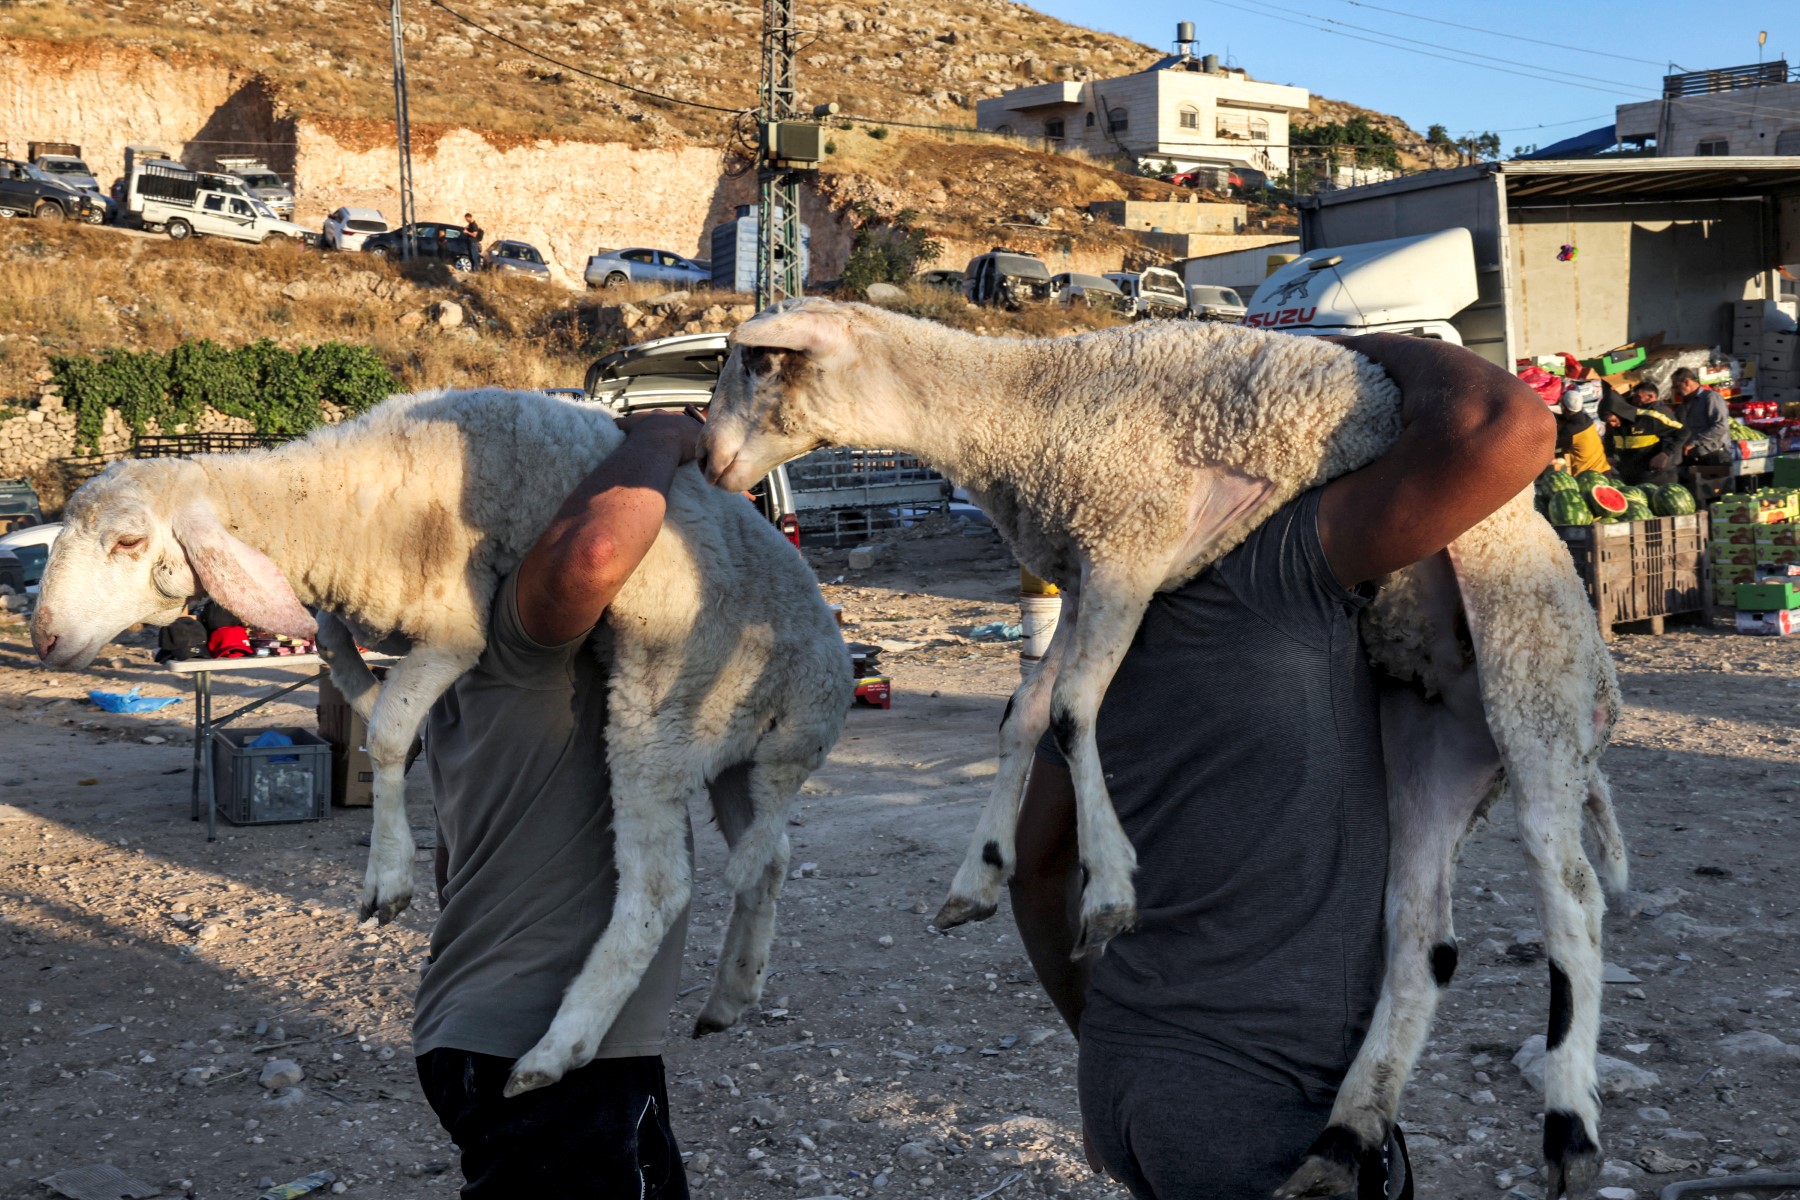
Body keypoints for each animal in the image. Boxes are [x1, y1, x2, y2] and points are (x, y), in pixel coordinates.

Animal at [32, 386, 852, 1098]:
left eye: (129, 540)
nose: (42, 638)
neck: (341, 504)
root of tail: (819, 692)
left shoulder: (459, 627)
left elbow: (390, 732)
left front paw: (388, 876)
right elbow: (337, 649)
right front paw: (355, 680)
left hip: (661, 708)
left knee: (660, 887)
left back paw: (557, 1048)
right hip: (733, 752)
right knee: (769, 859)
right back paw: (733, 992)